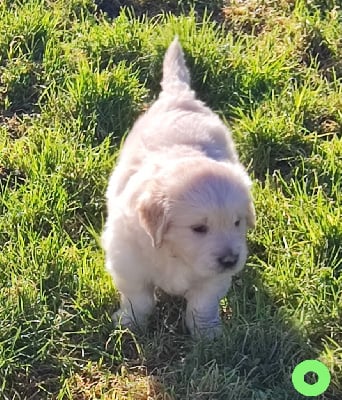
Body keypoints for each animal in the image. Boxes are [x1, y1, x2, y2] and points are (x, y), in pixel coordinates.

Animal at [101, 37, 254, 338]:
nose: (231, 260)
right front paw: (130, 323)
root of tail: (178, 95)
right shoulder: (129, 262)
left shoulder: (211, 280)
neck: (175, 252)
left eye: (237, 223)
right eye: (199, 228)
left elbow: (201, 305)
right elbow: (139, 298)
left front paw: (207, 335)